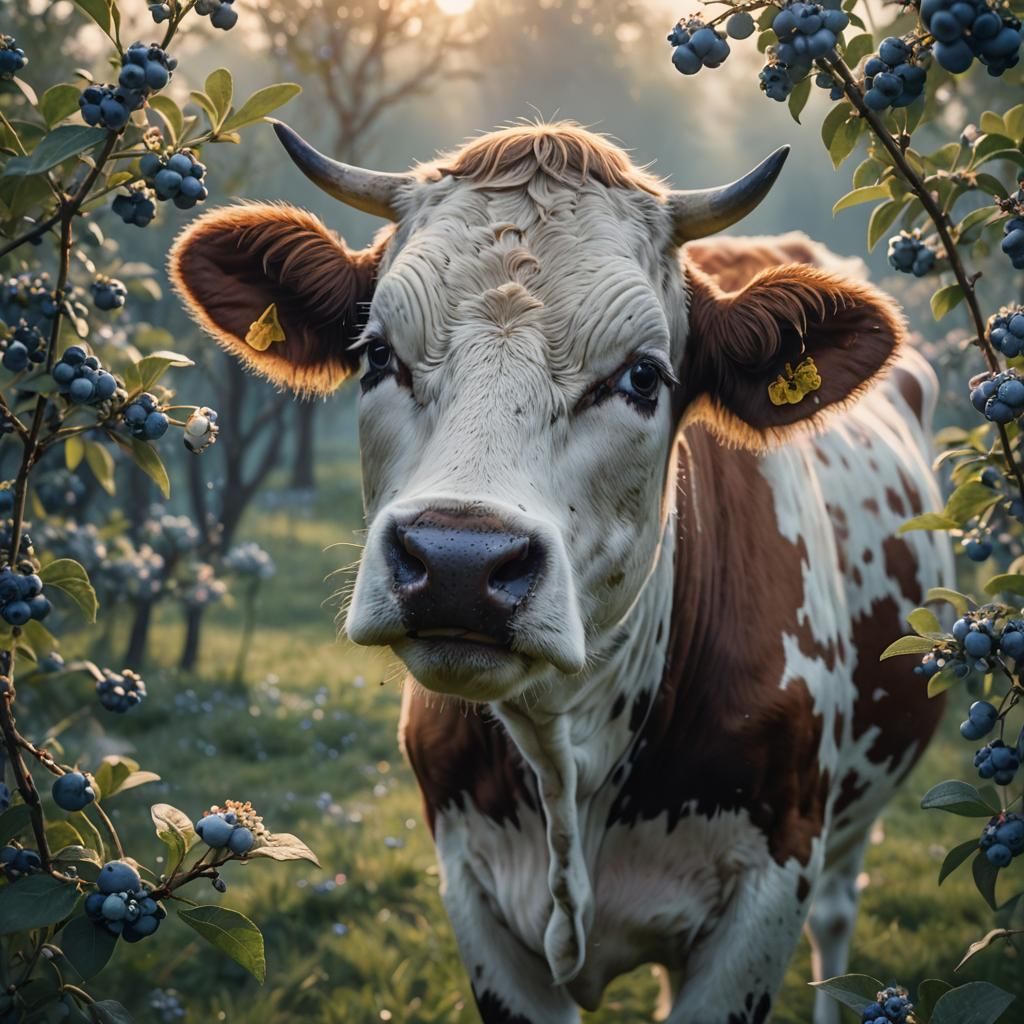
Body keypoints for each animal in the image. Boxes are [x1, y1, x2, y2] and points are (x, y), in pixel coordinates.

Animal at [169, 122, 953, 1024]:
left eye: (642, 375)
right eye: (376, 355)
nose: (458, 562)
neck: (570, 751)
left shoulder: (766, 897)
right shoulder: (477, 902)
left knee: (837, 917)